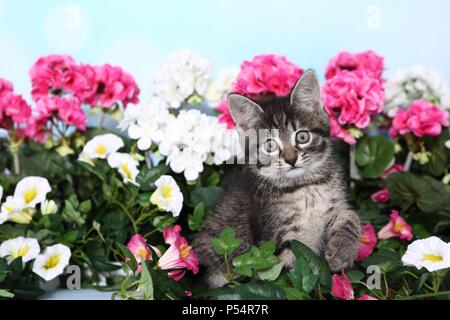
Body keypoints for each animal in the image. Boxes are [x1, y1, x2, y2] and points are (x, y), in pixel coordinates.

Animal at [192, 70, 358, 288]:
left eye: (302, 137)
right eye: (269, 145)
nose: (291, 159)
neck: (305, 186)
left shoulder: (335, 204)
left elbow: (350, 215)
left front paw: (342, 251)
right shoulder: (275, 241)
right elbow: (284, 275)